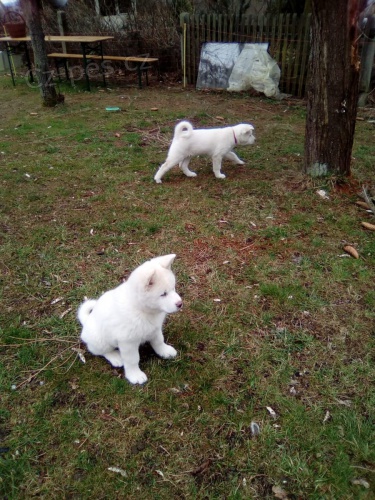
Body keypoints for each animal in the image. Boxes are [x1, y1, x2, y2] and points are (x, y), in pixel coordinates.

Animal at [77, 256, 183, 384]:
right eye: (163, 294)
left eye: (173, 288)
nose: (180, 304)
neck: (141, 309)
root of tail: (86, 321)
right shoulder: (128, 343)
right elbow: (132, 360)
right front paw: (134, 375)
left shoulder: (155, 329)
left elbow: (159, 341)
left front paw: (165, 351)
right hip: (100, 341)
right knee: (100, 351)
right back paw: (115, 357)